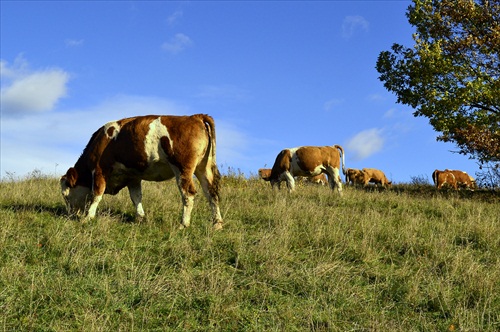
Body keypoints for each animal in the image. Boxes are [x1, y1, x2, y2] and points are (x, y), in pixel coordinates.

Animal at [59, 113, 224, 230]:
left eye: (65, 195)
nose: (69, 214)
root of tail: (195, 117)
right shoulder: (133, 177)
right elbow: (136, 197)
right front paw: (140, 218)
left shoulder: (99, 170)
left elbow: (96, 194)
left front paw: (88, 217)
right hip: (204, 168)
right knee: (211, 193)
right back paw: (217, 224)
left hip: (182, 168)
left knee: (188, 194)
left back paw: (183, 224)